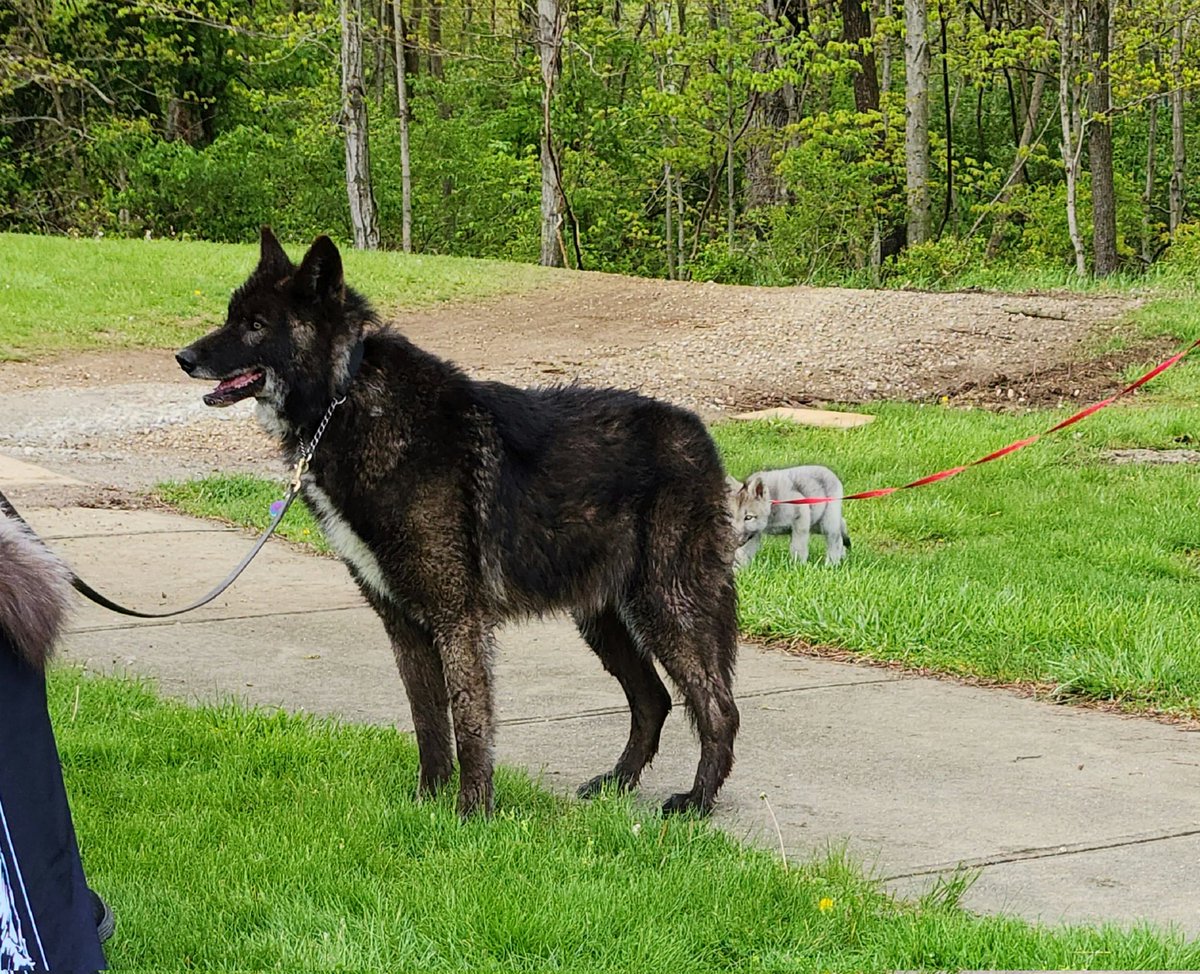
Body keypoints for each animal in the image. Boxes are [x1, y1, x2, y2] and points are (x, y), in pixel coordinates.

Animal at [176, 229, 740, 818]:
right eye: (232, 316)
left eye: (257, 325)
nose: (183, 358)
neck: (344, 399)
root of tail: (698, 435)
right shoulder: (402, 622)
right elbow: (428, 721)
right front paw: (427, 802)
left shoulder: (456, 617)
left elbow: (469, 720)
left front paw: (472, 812)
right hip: (604, 619)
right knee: (653, 700)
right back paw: (615, 784)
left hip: (666, 609)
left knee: (719, 708)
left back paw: (696, 801)